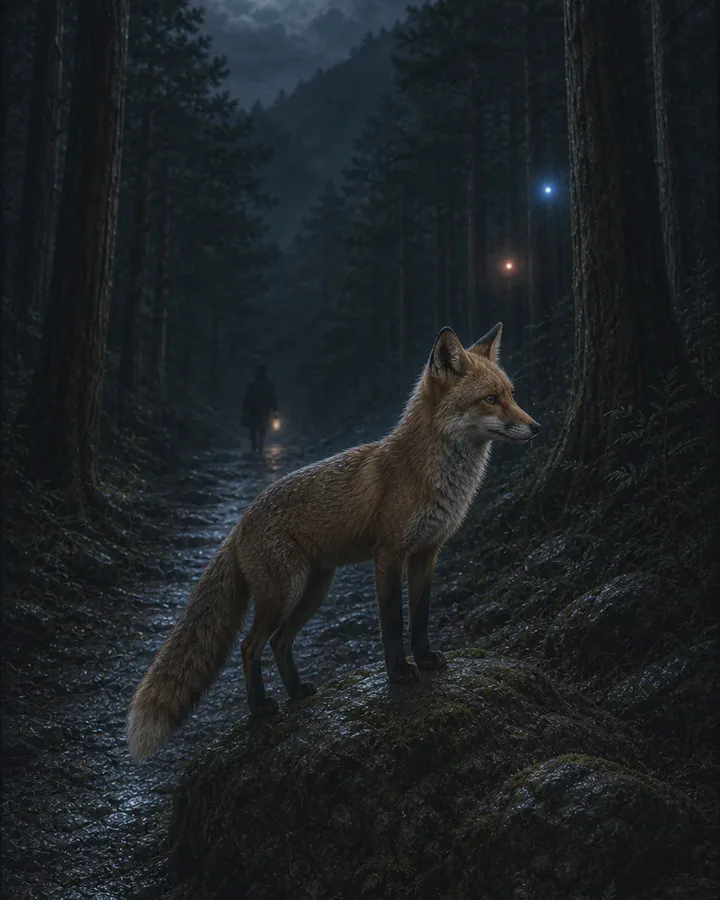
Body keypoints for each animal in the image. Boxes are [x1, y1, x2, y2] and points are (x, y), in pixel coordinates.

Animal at [127, 323, 540, 761]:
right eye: (491, 399)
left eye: (512, 394)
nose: (537, 427)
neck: (432, 476)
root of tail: (240, 522)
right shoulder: (389, 554)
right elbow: (393, 623)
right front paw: (399, 671)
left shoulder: (427, 552)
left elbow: (421, 617)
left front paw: (426, 659)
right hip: (284, 593)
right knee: (250, 646)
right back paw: (260, 707)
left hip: (315, 591)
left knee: (279, 643)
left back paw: (296, 692)